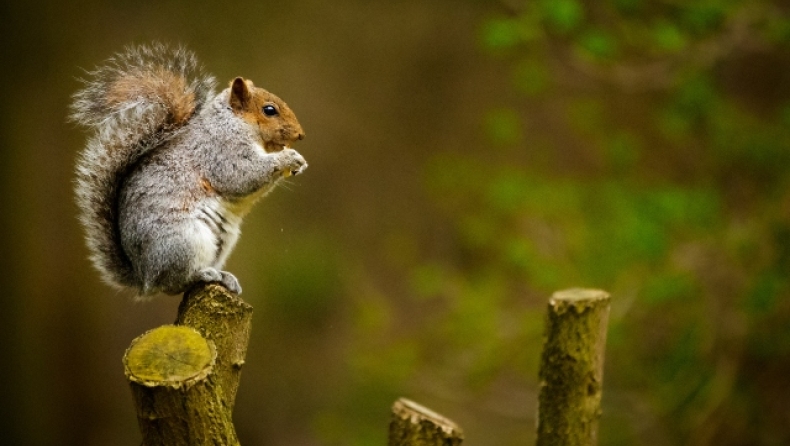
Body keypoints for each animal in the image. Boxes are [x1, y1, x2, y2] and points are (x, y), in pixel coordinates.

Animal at [69, 43, 308, 298]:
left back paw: (225, 277)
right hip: (184, 241)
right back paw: (203, 274)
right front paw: (288, 158)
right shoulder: (221, 151)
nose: (300, 134)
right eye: (269, 110)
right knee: (174, 283)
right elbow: (242, 176)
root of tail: (144, 277)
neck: (233, 122)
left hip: (222, 242)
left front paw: (299, 163)